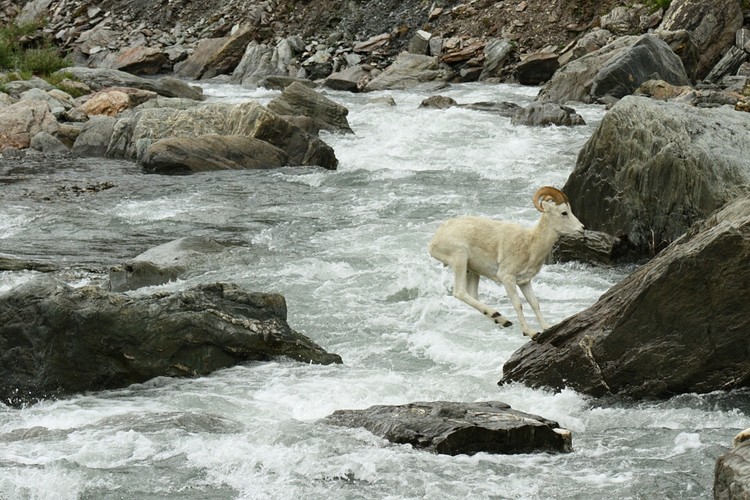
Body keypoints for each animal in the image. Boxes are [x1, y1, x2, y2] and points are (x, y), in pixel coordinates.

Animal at [428, 186, 585, 339]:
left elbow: (535, 304)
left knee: (472, 294)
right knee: (460, 292)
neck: (530, 244)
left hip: (472, 271)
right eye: (564, 212)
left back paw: (500, 319)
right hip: (460, 259)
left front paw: (547, 328)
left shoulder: (524, 282)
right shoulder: (507, 278)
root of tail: (435, 239)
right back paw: (501, 318)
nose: (582, 228)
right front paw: (531, 333)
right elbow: (518, 304)